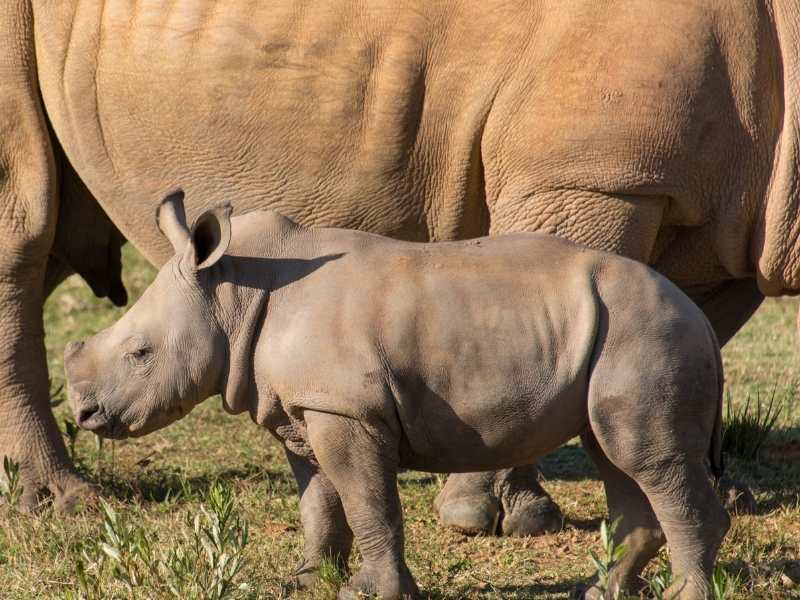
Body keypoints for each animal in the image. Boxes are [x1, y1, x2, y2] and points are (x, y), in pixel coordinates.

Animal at [1, 0, 800, 540]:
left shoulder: (723, 210)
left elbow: (682, 329)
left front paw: (708, 489)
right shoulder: (596, 178)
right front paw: (487, 514)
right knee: (25, 226)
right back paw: (63, 502)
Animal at [65, 192, 732, 600]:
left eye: (140, 353)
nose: (85, 412)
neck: (234, 295)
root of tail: (699, 317)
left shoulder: (345, 409)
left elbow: (368, 502)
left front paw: (371, 591)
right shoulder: (306, 407)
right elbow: (319, 501)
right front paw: (305, 581)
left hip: (647, 332)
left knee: (647, 461)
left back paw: (683, 595)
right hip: (623, 334)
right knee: (615, 453)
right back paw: (598, 591)